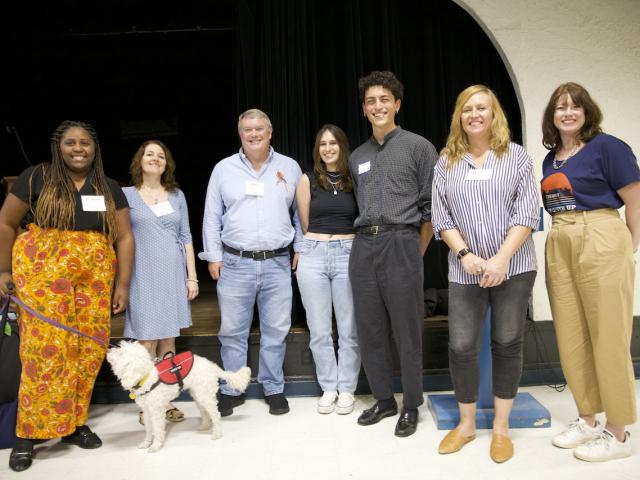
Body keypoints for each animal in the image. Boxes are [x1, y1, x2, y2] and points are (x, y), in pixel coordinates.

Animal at [107, 340, 250, 452]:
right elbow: (148, 430)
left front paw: (155, 446)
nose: (109, 350)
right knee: (204, 413)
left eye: (120, 352)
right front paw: (146, 443)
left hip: (205, 396)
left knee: (215, 415)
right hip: (198, 395)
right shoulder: (147, 412)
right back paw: (204, 426)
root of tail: (213, 366)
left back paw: (217, 433)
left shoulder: (157, 412)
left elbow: (157, 430)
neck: (145, 377)